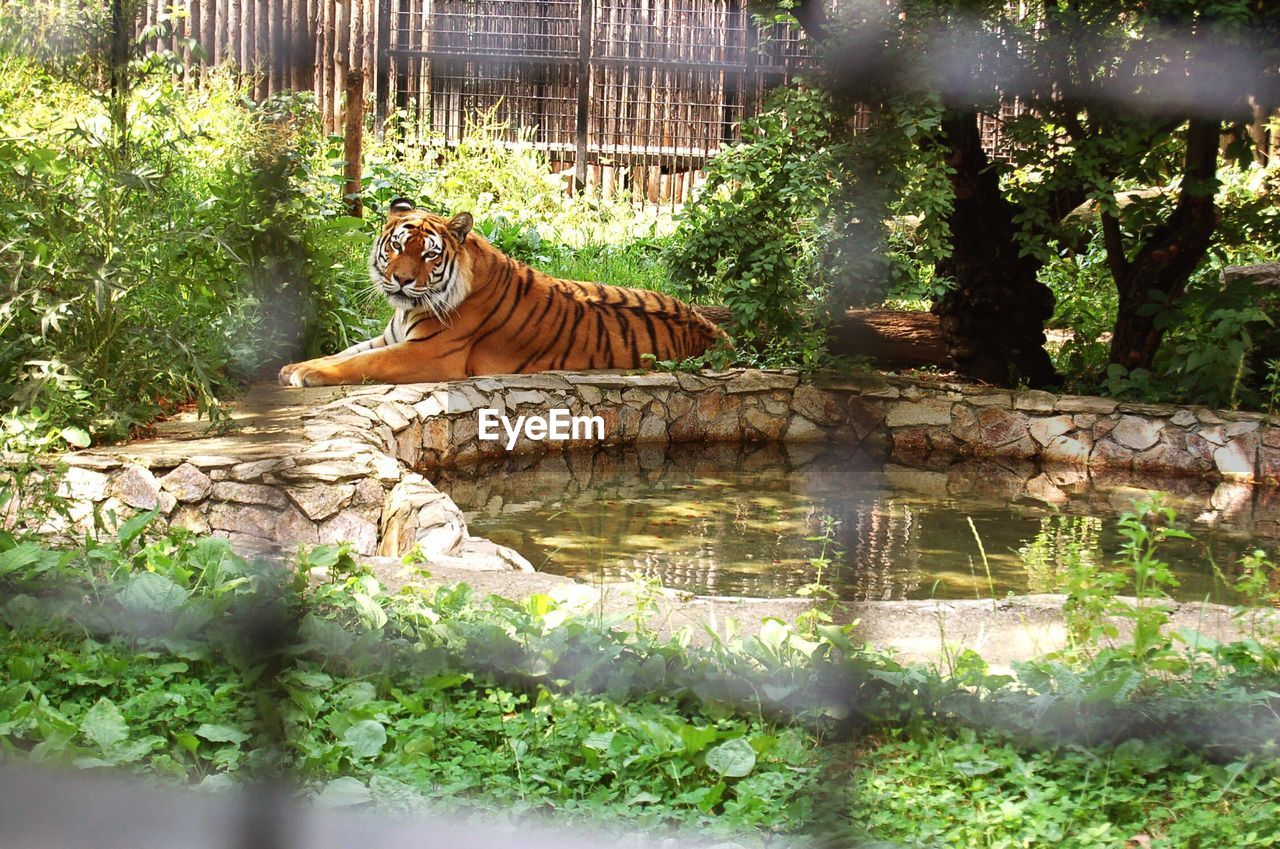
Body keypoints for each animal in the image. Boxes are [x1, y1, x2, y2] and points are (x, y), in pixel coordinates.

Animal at [276, 197, 727, 386]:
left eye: (429, 254)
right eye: (398, 246)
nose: (402, 280)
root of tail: (719, 334)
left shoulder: (430, 353)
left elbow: (361, 363)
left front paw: (307, 373)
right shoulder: (390, 337)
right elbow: (346, 353)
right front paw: (295, 366)